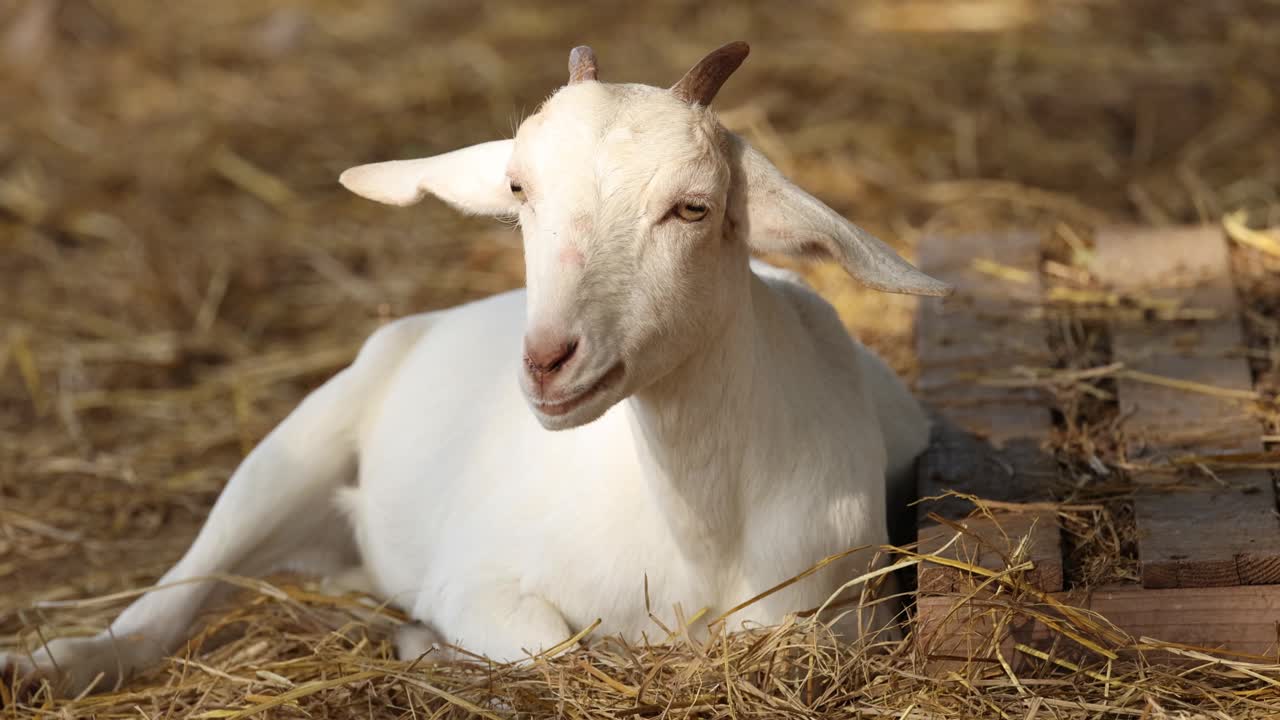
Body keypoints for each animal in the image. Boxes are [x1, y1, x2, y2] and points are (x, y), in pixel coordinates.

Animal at [5, 41, 952, 691]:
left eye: (693, 207)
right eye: (520, 189)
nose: (548, 362)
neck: (699, 533)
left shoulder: (845, 615)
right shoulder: (478, 579)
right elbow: (552, 646)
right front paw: (432, 644)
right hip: (293, 448)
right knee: (181, 587)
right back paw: (50, 664)